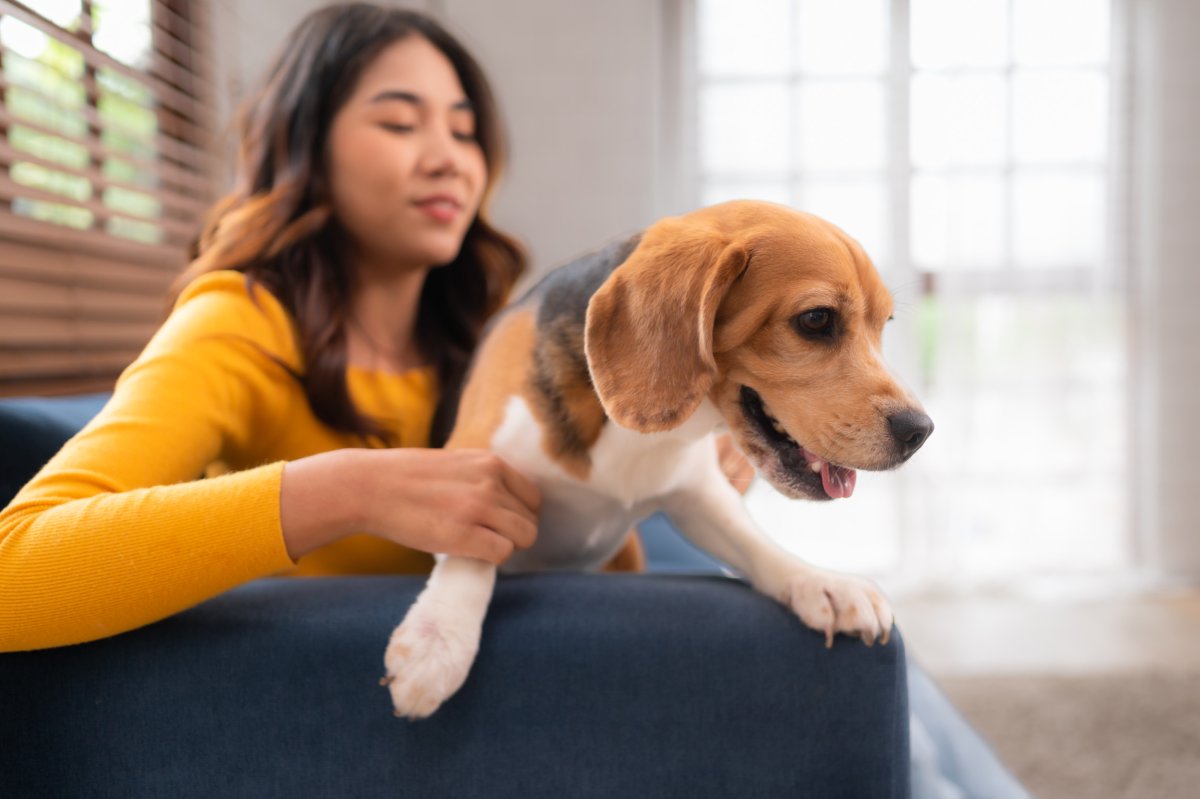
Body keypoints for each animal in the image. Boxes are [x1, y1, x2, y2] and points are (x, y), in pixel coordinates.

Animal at [384, 197, 936, 715]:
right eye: (817, 319)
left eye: (884, 324)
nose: (921, 431)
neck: (637, 436)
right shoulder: (474, 460)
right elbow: (472, 543)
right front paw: (438, 639)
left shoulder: (697, 494)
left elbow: (752, 544)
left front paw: (821, 585)